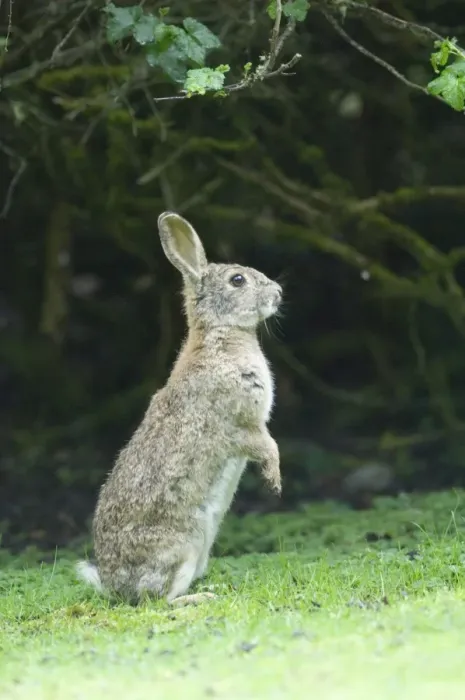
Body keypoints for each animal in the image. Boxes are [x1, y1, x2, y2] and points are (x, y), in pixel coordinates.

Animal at [76, 211, 282, 606]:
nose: (278, 293)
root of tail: (115, 587)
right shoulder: (240, 424)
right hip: (183, 544)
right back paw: (198, 599)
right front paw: (275, 483)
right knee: (158, 601)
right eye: (237, 280)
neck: (219, 336)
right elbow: (267, 446)